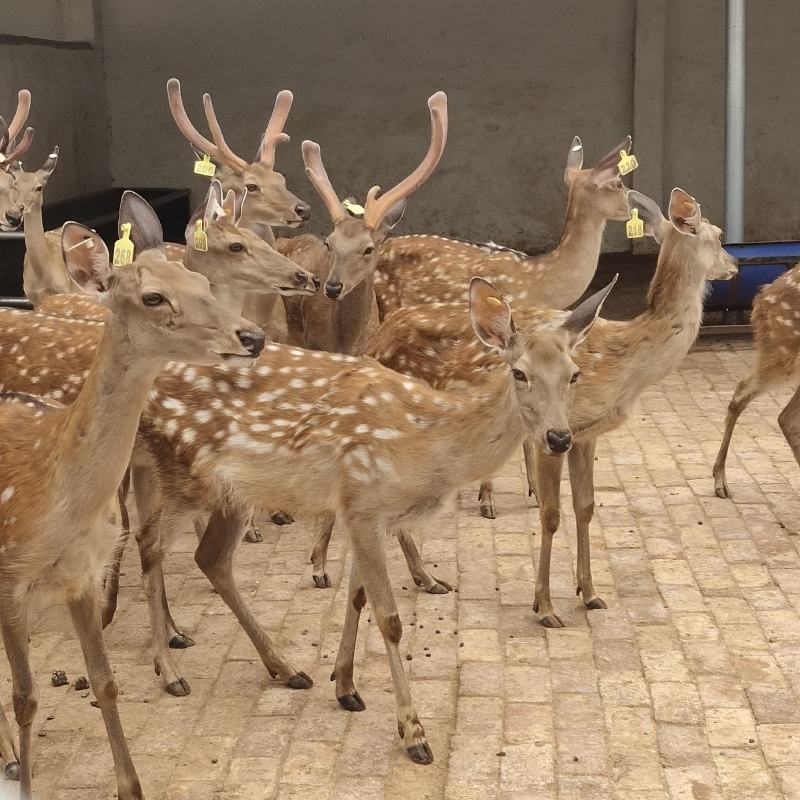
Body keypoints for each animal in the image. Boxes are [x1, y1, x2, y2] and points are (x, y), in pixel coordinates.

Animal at [0, 223, 264, 799]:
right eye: (153, 297)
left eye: (199, 280)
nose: (252, 337)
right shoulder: (8, 584)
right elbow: (27, 698)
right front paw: (24, 780)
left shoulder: (81, 578)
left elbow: (105, 682)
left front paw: (131, 786)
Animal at [316, 188, 737, 625]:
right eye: (718, 236)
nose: (736, 265)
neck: (626, 363)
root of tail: (376, 340)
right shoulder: (550, 435)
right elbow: (550, 515)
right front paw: (545, 606)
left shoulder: (584, 435)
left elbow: (585, 507)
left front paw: (590, 593)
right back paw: (323, 568)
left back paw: (426, 578)